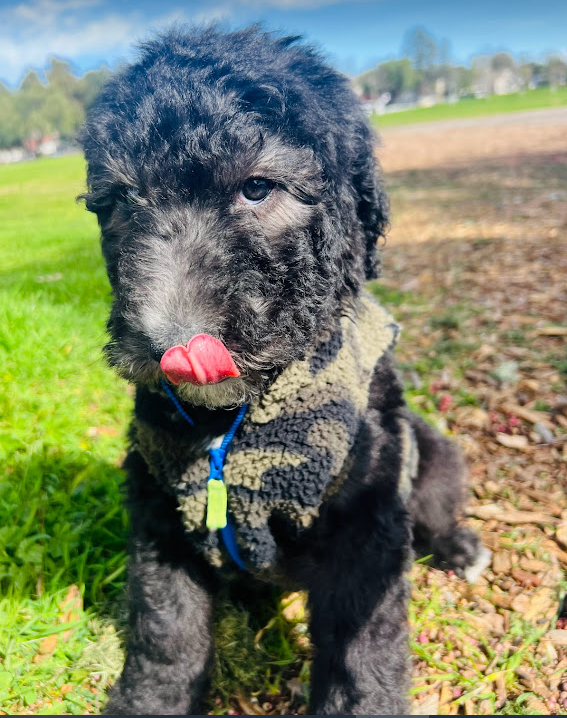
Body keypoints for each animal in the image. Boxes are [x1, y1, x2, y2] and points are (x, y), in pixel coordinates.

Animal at [79, 25, 488, 716]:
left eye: (257, 188)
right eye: (123, 201)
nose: (169, 345)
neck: (233, 423)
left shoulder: (367, 518)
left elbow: (361, 647)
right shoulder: (160, 508)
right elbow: (165, 628)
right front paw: (151, 700)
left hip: (429, 452)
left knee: (435, 503)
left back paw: (459, 545)